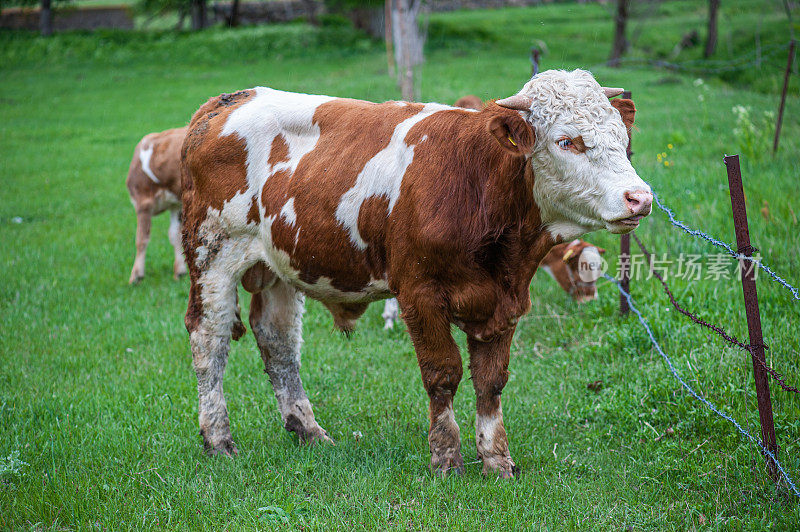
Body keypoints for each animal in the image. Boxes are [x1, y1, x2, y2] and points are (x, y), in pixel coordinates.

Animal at [128, 127, 191, 284]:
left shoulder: (143, 202)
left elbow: (141, 238)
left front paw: (136, 275)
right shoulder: (176, 205)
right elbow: (175, 234)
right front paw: (180, 271)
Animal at [184, 69, 652, 478]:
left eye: (622, 137)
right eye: (566, 141)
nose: (640, 198)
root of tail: (224, 102)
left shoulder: (507, 300)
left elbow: (491, 381)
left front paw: (497, 460)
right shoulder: (420, 295)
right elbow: (442, 374)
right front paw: (446, 459)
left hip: (279, 265)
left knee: (278, 343)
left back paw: (309, 430)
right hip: (213, 256)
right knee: (210, 340)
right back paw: (218, 440)